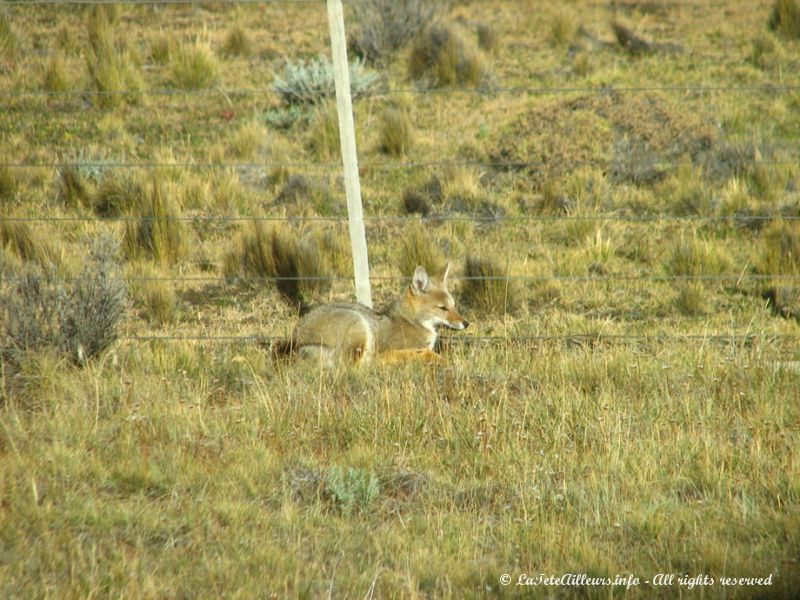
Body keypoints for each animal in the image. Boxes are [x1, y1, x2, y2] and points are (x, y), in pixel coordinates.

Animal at [276, 264, 468, 366]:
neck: (413, 322)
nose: (467, 323)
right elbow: (424, 352)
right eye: (443, 308)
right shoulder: (390, 347)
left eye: (453, 306)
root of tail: (295, 340)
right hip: (360, 324)